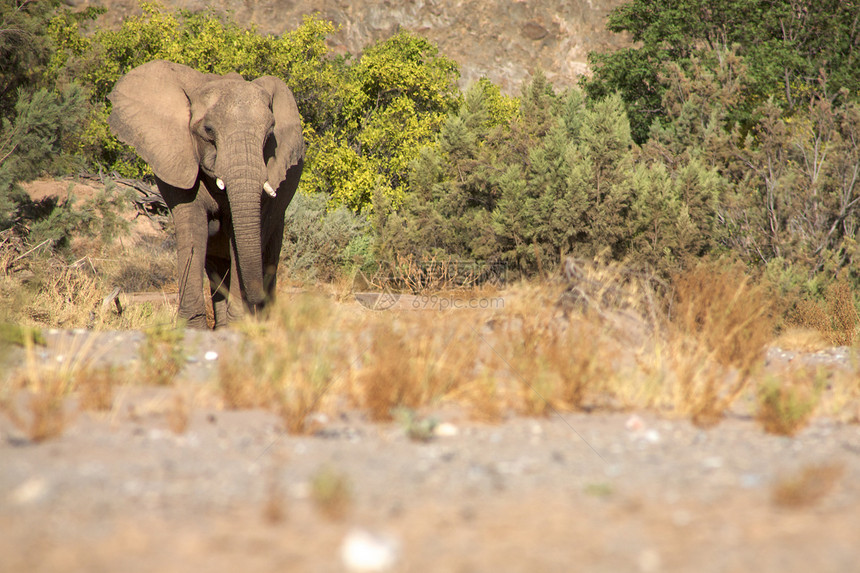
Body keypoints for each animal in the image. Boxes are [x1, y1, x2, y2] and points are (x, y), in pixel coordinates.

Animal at [107, 59, 304, 326]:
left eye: (269, 134)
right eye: (208, 130)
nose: (255, 300)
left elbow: (239, 243)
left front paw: (238, 325)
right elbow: (194, 230)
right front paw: (192, 327)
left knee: (267, 255)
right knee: (216, 267)